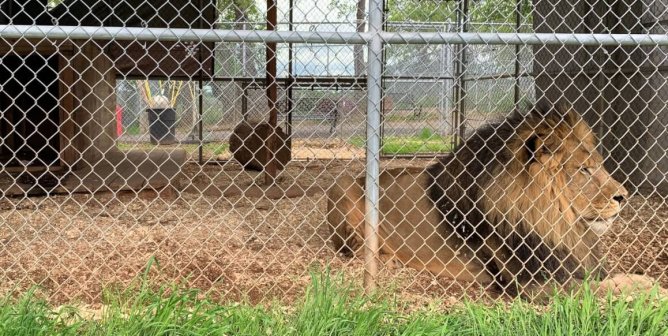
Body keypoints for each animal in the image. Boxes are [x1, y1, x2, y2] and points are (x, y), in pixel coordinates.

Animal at [326, 102, 648, 300]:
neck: (556, 221)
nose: (624, 196)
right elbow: (599, 287)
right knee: (351, 249)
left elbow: (602, 278)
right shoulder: (531, 283)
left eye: (597, 165)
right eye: (583, 169)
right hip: (341, 186)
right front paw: (646, 285)